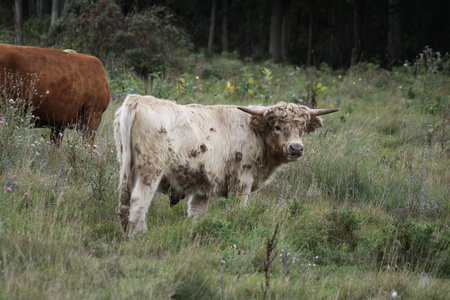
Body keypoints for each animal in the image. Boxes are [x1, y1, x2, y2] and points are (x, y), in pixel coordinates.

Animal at [113, 94, 338, 237]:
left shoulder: (202, 187)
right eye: (277, 126)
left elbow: (196, 213)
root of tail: (138, 99)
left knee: (124, 202)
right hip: (150, 170)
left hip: (126, 168)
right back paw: (140, 234)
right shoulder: (242, 182)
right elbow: (239, 209)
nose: (296, 148)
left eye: (302, 128)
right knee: (138, 201)